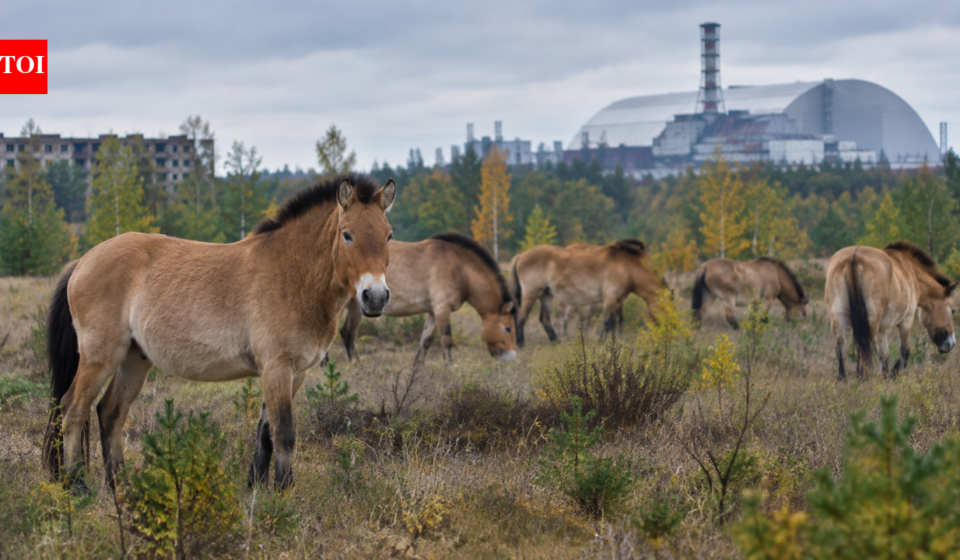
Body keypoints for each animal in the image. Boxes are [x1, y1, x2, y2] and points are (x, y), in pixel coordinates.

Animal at [42, 174, 397, 494]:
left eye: (389, 236)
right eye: (347, 235)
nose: (375, 297)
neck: (294, 273)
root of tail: (83, 260)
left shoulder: (295, 373)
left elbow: (265, 432)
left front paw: (254, 489)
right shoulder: (277, 367)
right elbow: (284, 433)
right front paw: (284, 495)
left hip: (134, 360)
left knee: (110, 414)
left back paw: (121, 486)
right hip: (100, 358)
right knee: (73, 409)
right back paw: (77, 486)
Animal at [338, 232, 517, 363]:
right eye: (508, 328)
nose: (511, 358)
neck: (459, 268)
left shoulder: (433, 311)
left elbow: (426, 341)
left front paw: (416, 370)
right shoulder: (442, 308)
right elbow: (447, 340)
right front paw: (449, 368)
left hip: (356, 306)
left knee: (348, 334)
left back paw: (357, 366)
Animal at [508, 239, 662, 347]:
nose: (661, 331)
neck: (626, 267)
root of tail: (521, 256)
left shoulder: (617, 300)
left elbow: (613, 322)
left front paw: (613, 341)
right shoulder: (610, 299)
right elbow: (607, 323)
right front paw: (602, 342)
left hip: (546, 295)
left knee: (545, 319)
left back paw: (556, 342)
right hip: (532, 294)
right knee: (521, 317)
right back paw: (521, 344)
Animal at [825, 242, 957, 380]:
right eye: (953, 310)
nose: (952, 342)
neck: (909, 270)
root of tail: (854, 258)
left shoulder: (881, 329)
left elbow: (884, 354)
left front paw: (885, 375)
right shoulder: (907, 320)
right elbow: (904, 351)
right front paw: (893, 373)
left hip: (838, 317)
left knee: (841, 348)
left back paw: (843, 379)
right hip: (871, 321)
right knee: (864, 349)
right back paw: (863, 379)